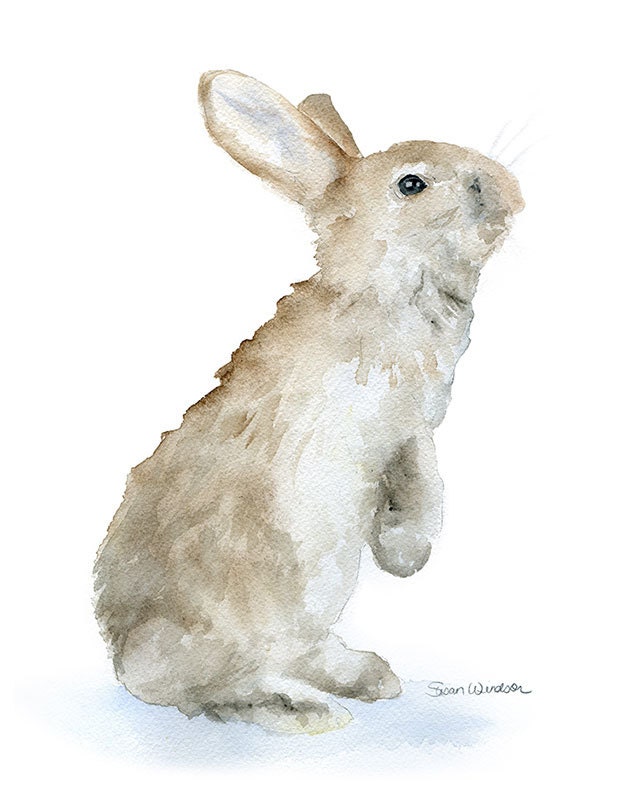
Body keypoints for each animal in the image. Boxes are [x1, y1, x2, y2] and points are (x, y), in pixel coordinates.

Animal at [93, 70, 524, 735]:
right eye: (412, 184)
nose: (506, 190)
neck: (383, 286)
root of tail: (123, 648)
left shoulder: (412, 430)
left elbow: (424, 481)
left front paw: (404, 555)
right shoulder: (392, 420)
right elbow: (425, 489)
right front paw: (408, 555)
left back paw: (368, 677)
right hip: (254, 607)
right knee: (197, 687)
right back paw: (303, 712)